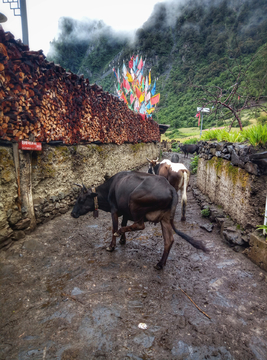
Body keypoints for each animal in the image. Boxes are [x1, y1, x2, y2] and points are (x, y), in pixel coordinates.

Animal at [72, 172, 208, 270]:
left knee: (140, 225)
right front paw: (122, 240)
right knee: (169, 240)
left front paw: (111, 246)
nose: (72, 213)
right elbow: (124, 222)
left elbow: (114, 227)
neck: (109, 188)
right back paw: (160, 264)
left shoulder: (114, 209)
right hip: (165, 219)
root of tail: (170, 188)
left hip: (134, 201)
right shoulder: (125, 212)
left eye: (81, 199)